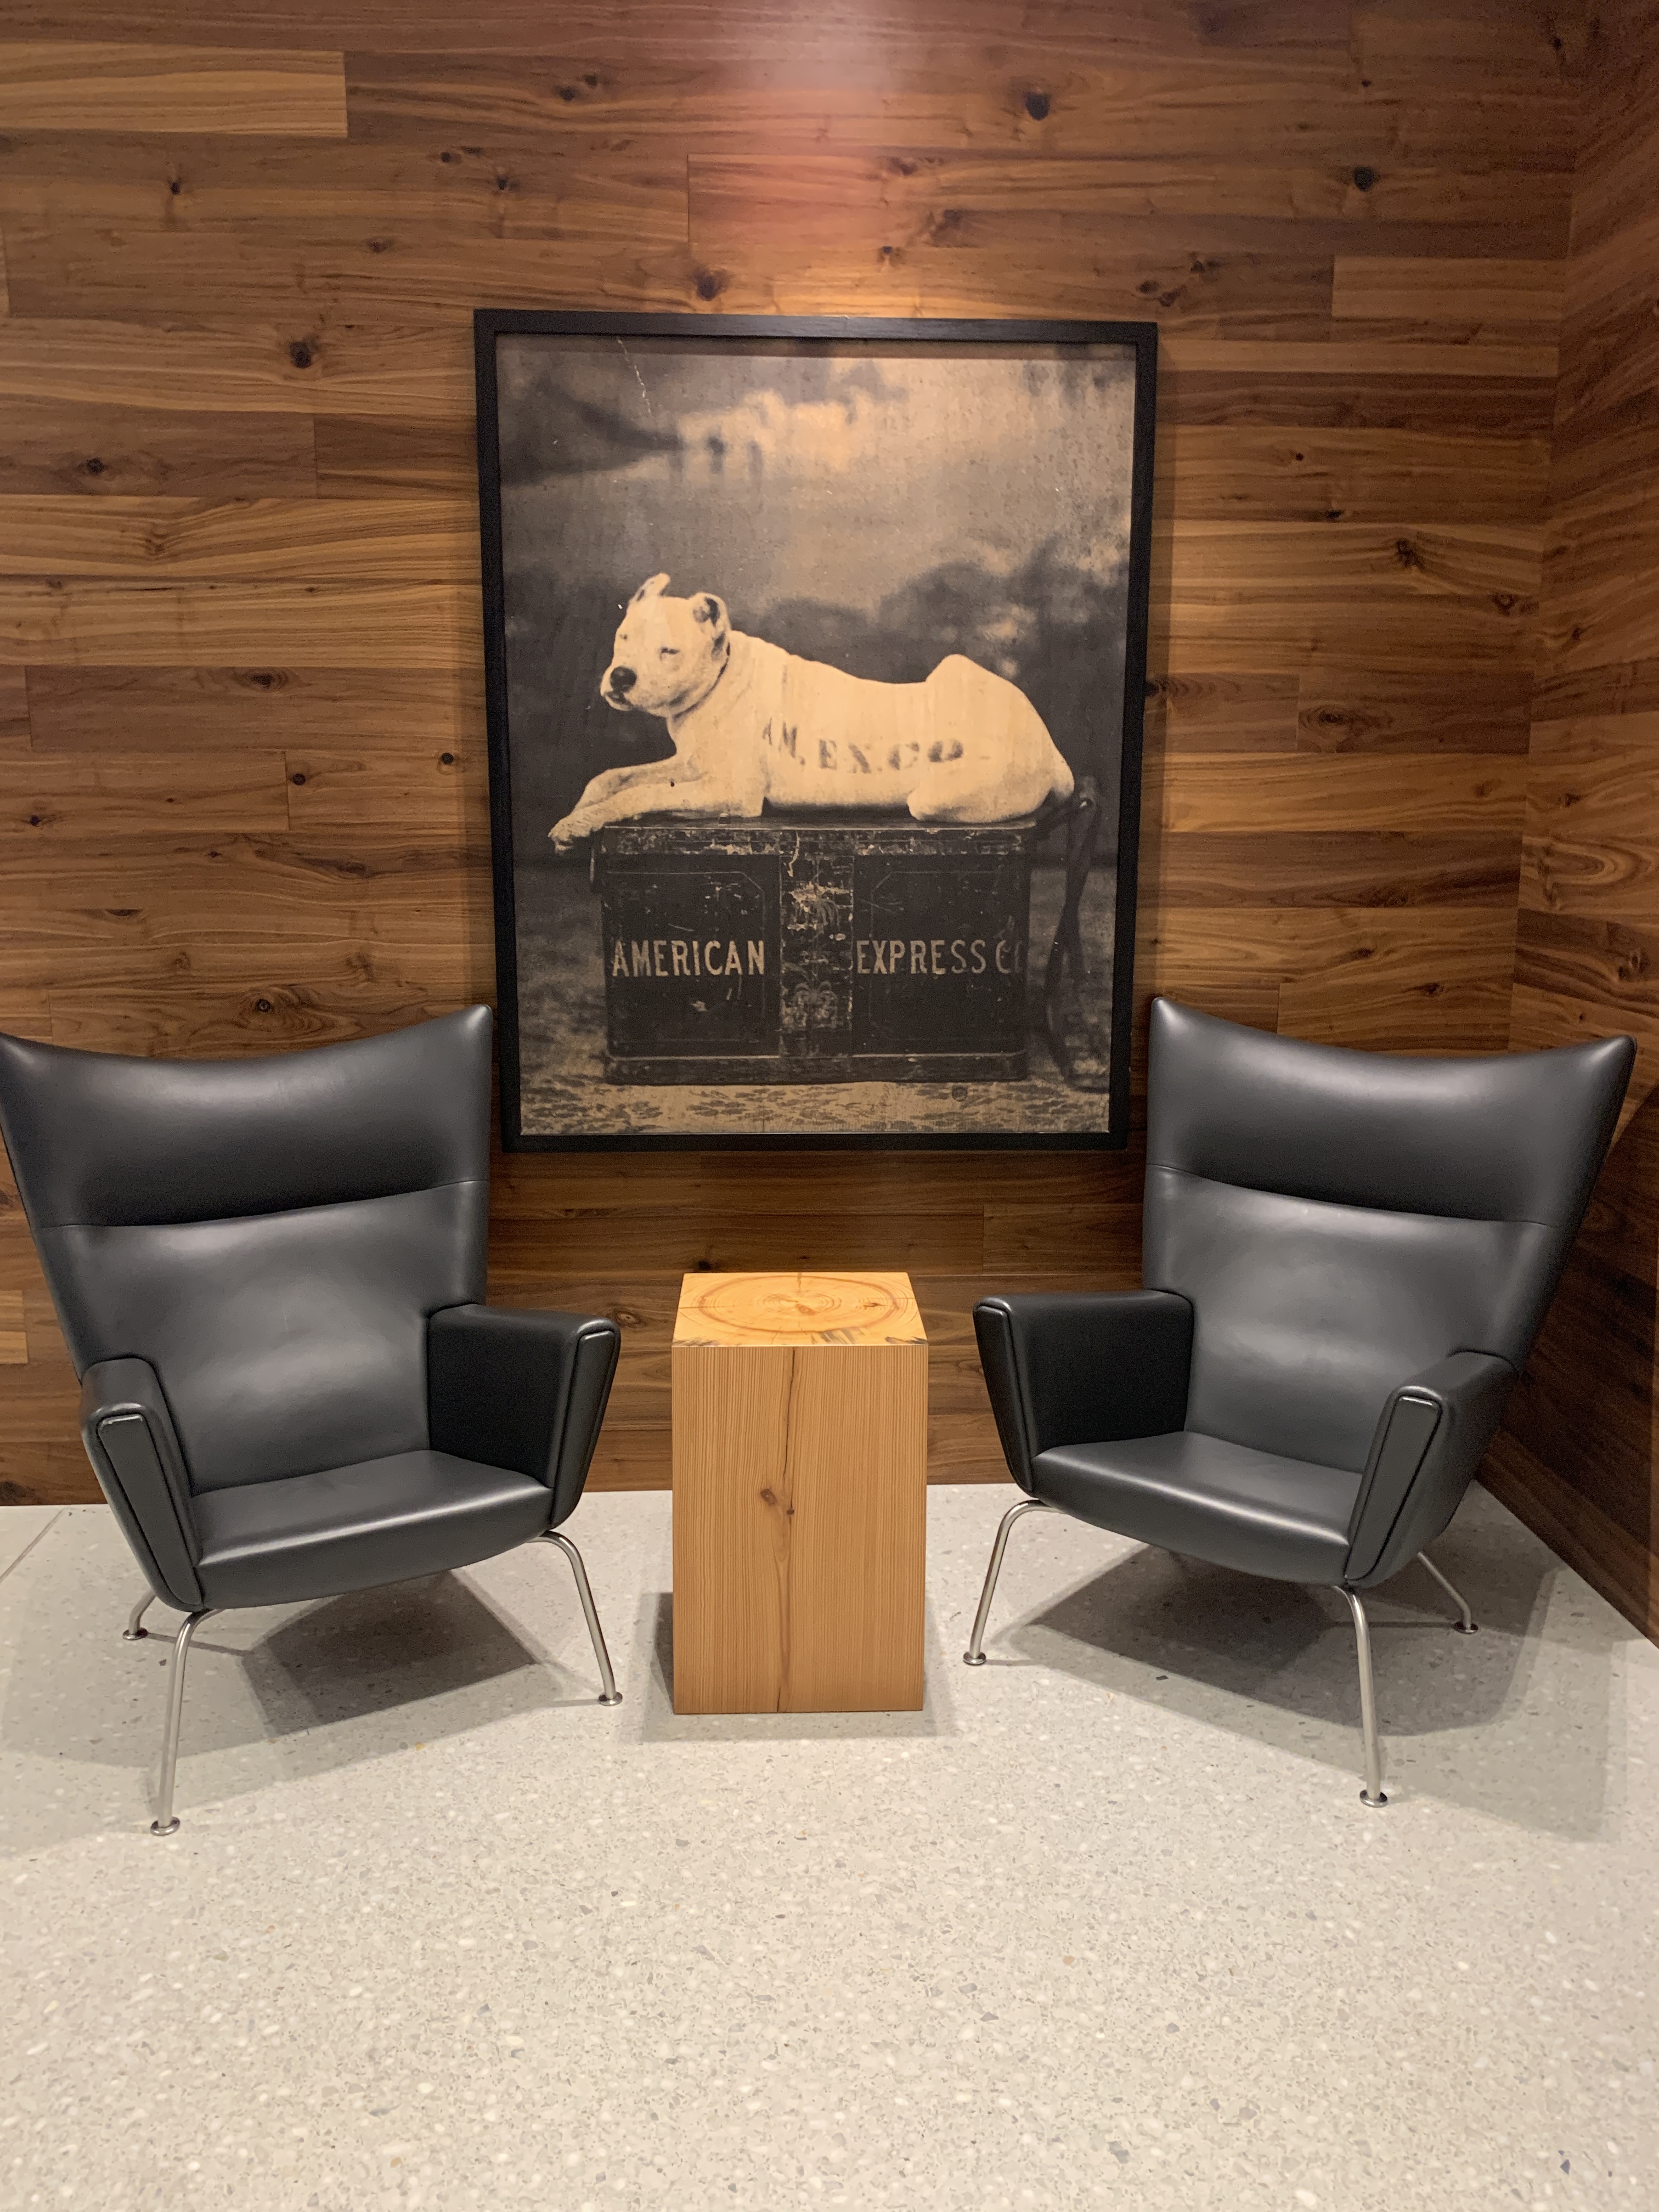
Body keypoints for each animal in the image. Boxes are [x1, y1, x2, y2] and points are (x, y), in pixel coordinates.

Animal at [548, 573, 1074, 848]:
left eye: (669, 652)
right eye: (623, 638)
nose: (621, 677)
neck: (719, 678)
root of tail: (1050, 747)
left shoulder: (728, 793)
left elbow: (644, 794)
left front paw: (587, 821)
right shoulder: (690, 764)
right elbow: (615, 777)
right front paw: (579, 812)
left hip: (935, 798)